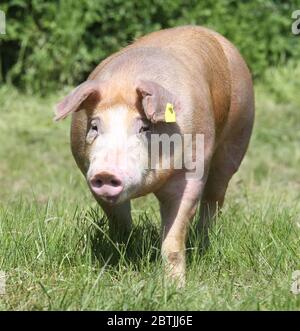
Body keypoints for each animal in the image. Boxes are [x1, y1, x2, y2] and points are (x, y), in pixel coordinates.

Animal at [55, 26, 254, 286]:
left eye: (144, 127)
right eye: (95, 126)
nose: (106, 173)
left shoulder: (191, 172)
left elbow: (174, 237)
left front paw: (176, 286)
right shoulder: (88, 174)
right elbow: (119, 220)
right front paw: (124, 254)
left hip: (237, 137)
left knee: (214, 198)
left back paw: (203, 244)